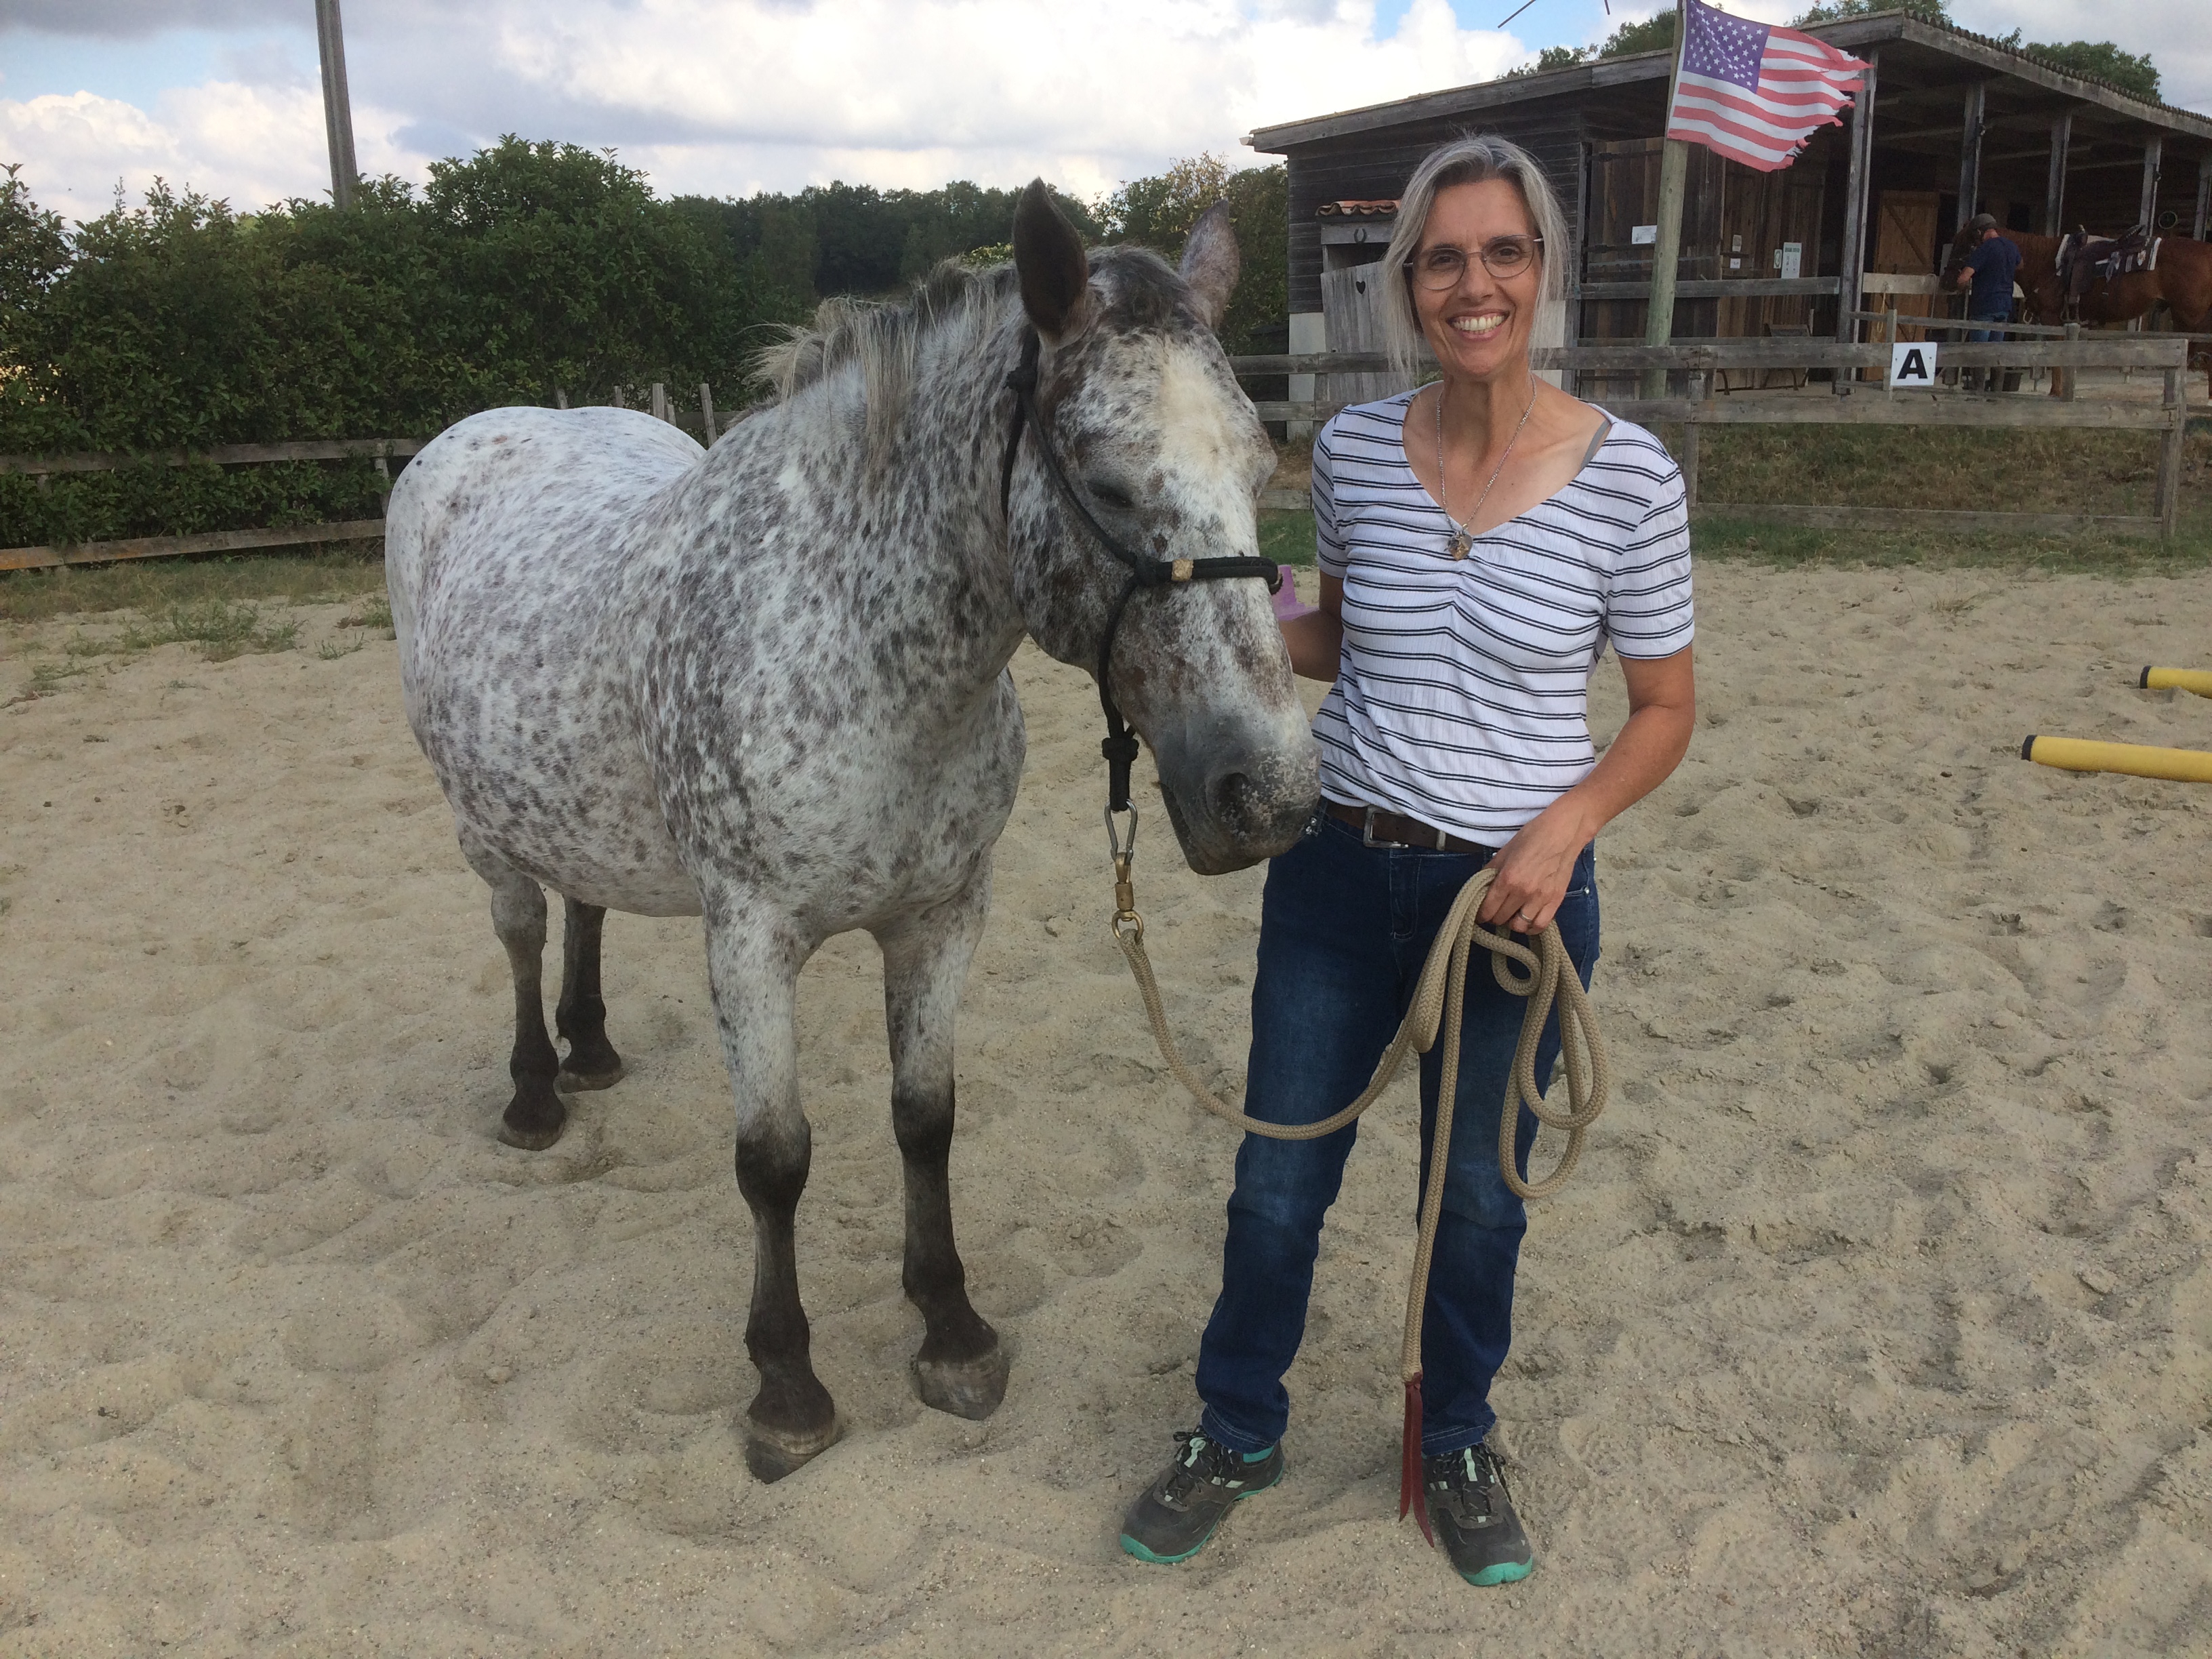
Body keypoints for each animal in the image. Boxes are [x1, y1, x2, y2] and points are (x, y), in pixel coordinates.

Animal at [382, 183, 1320, 1482]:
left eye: (1259, 461)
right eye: (1106, 478)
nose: (1266, 792)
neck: (858, 651)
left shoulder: (940, 916)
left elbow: (925, 1120)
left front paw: (953, 1331)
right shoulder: (748, 938)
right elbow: (774, 1159)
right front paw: (786, 1387)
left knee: (585, 904)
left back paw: (592, 1047)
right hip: (482, 827)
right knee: (522, 931)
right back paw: (534, 1095)